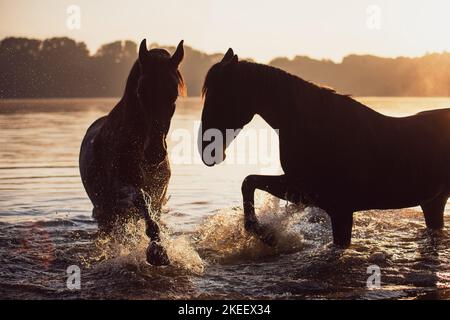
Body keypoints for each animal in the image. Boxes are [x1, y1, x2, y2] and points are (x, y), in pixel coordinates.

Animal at [80, 39, 184, 264]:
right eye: (141, 92)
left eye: (173, 93)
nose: (155, 152)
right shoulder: (123, 188)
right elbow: (141, 198)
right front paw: (157, 252)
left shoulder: (159, 194)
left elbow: (152, 212)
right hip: (106, 214)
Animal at [200, 48, 450, 248]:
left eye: (219, 96)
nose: (207, 150)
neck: (321, 130)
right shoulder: (305, 192)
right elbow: (249, 182)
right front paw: (262, 233)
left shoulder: (339, 209)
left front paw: (264, 233)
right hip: (433, 203)